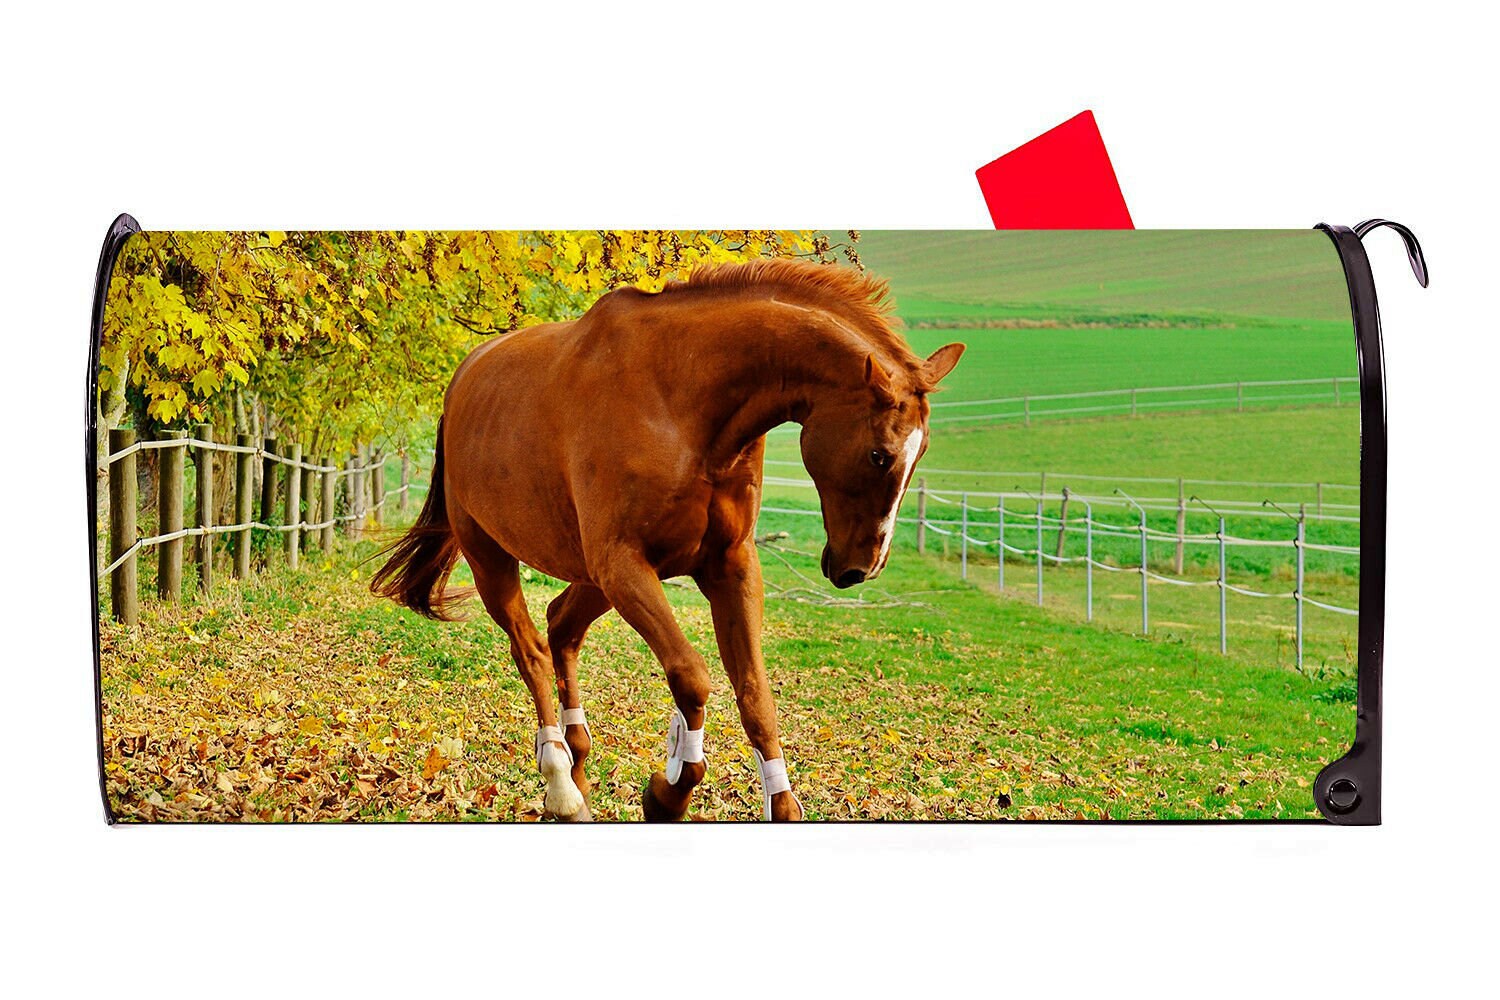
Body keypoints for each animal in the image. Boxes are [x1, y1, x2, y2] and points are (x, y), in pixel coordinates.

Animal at [371, 258, 963, 821]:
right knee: (532, 650)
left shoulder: (729, 567)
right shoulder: (625, 565)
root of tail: (463, 381)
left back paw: (578, 773)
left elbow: (755, 695)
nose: (860, 567)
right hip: (495, 560)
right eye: (880, 455)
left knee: (561, 626)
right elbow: (692, 677)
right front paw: (668, 792)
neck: (682, 401)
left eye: (923, 451)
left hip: (592, 580)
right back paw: (562, 785)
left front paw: (779, 804)